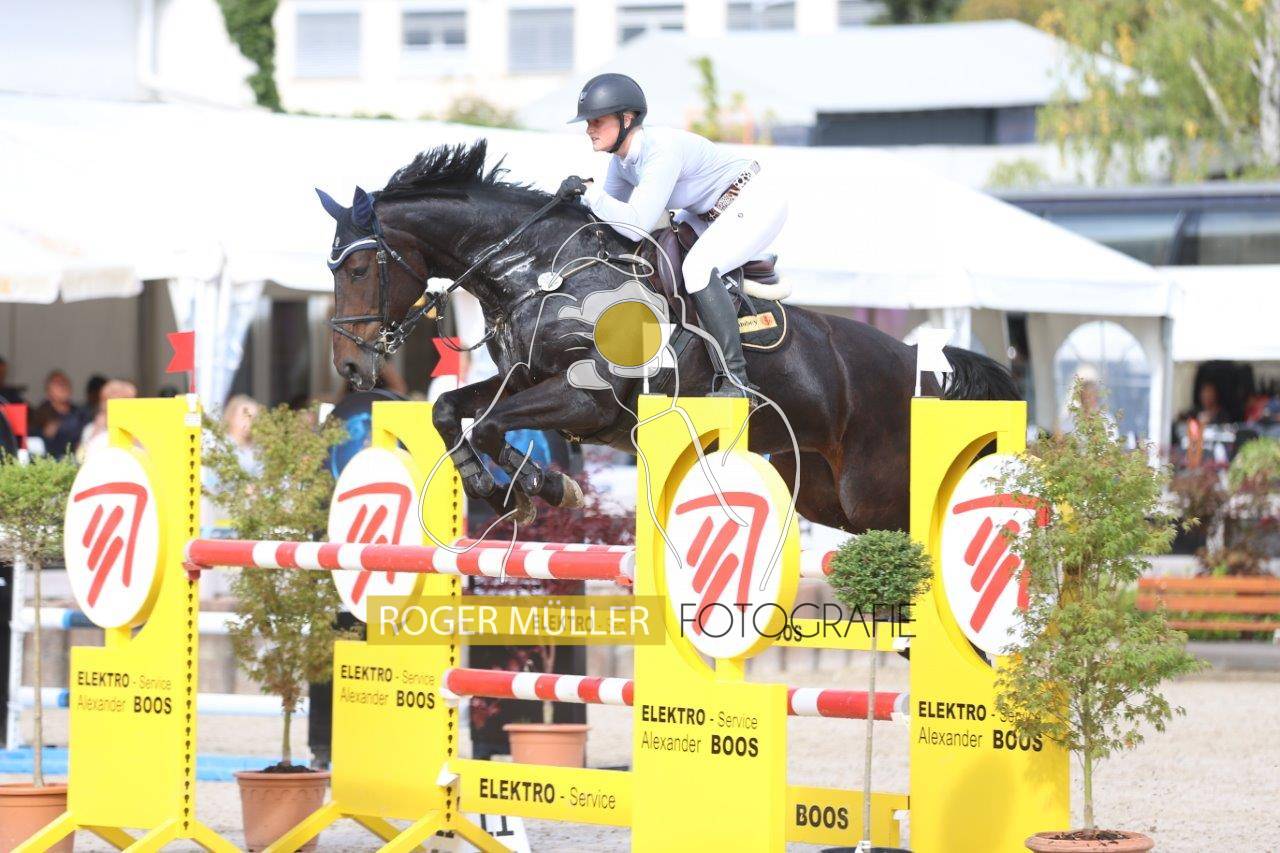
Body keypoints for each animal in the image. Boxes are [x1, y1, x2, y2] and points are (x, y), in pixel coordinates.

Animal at [319, 140, 1019, 533]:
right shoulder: (523, 380)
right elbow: (450, 411)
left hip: (873, 491)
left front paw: (537, 488)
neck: (539, 269)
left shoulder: (586, 400)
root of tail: (921, 368)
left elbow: (488, 425)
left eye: (357, 270)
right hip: (826, 495)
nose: (350, 370)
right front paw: (516, 491)